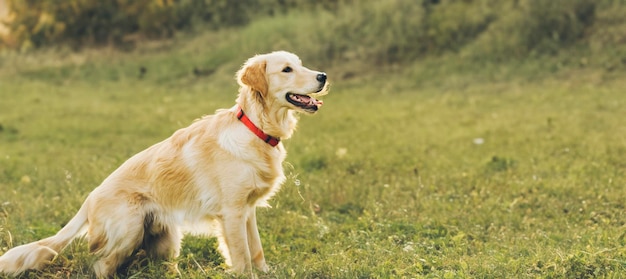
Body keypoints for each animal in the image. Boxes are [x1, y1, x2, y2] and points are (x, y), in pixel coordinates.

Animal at [0, 50, 330, 278]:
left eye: (300, 64)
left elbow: (256, 250)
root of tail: (89, 199)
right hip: (129, 226)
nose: (324, 76)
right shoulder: (232, 212)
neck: (256, 129)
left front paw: (265, 272)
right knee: (101, 265)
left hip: (168, 239)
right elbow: (242, 255)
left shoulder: (247, 210)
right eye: (287, 69)